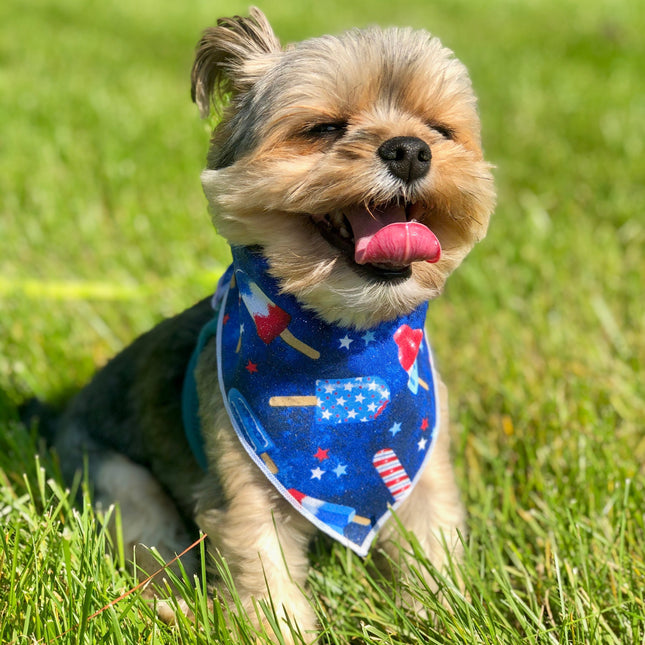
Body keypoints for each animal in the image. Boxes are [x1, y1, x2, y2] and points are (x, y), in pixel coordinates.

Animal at [37, 7, 496, 640]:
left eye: (440, 130)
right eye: (324, 128)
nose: (410, 150)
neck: (344, 346)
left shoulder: (422, 472)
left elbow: (433, 551)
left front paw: (447, 617)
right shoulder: (244, 485)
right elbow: (265, 573)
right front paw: (277, 629)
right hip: (117, 482)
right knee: (150, 547)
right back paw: (172, 608)